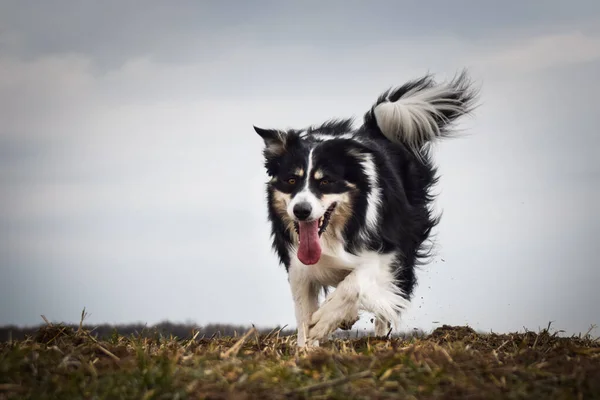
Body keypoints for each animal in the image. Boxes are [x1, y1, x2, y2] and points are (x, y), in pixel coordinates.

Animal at [253, 71, 478, 346]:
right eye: (291, 180)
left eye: (325, 181)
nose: (301, 211)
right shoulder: (298, 264)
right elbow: (304, 311)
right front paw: (307, 347)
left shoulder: (388, 250)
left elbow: (354, 284)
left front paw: (323, 321)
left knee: (388, 300)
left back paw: (380, 338)